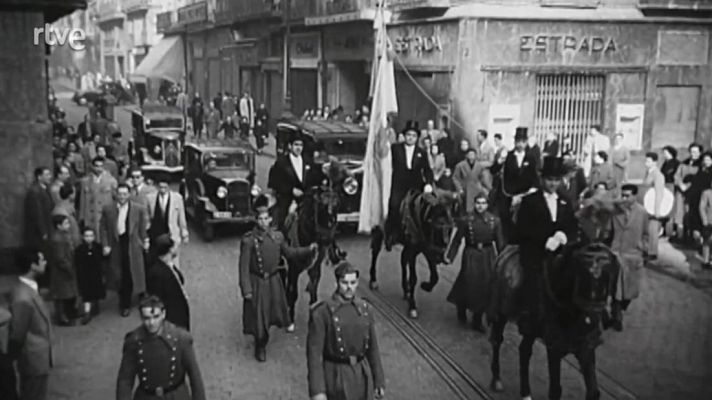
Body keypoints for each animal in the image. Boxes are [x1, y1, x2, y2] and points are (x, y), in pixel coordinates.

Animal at [280, 161, 348, 326]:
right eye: (322, 205)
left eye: (338, 204)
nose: (327, 238)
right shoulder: (293, 267)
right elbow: (293, 291)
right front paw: (290, 318)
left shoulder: (316, 266)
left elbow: (314, 289)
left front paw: (313, 308)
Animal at [370, 188, 458, 318]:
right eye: (437, 225)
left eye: (451, 227)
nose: (440, 255)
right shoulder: (414, 250)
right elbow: (413, 278)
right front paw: (412, 306)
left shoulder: (426, 250)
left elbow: (435, 277)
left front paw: (426, 286)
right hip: (379, 229)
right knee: (375, 251)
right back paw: (373, 280)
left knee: (402, 259)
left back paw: (405, 289)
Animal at [486, 241, 620, 400]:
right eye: (583, 268)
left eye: (609, 271)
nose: (594, 314)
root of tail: (507, 250)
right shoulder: (554, 347)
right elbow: (555, 390)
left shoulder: (586, 347)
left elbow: (594, 391)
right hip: (500, 314)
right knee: (497, 340)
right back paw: (496, 380)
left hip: (531, 330)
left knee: (524, 350)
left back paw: (526, 393)